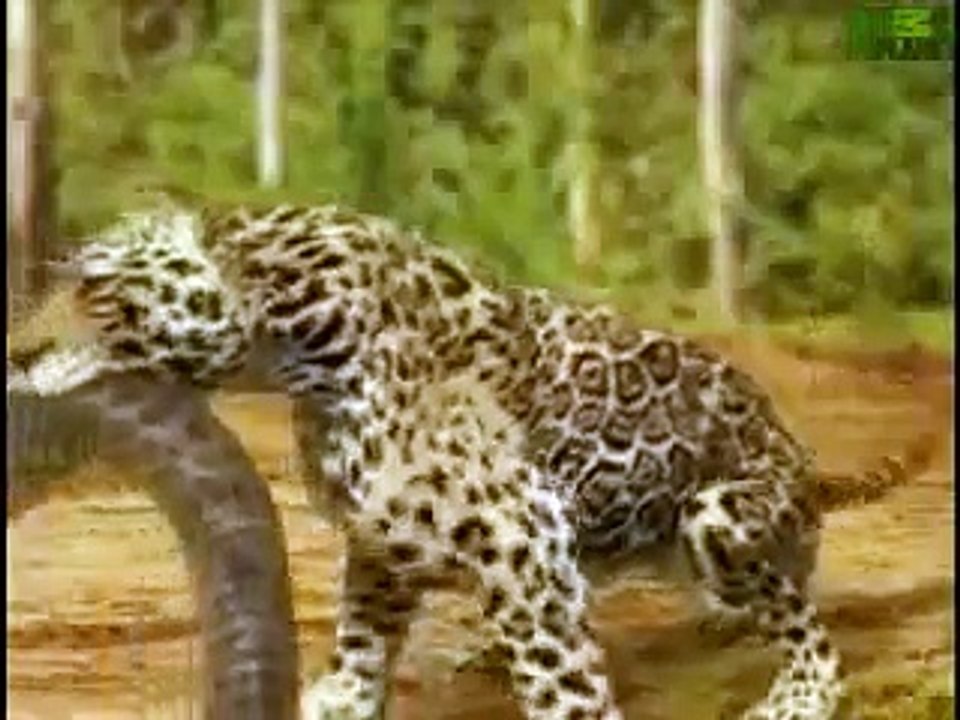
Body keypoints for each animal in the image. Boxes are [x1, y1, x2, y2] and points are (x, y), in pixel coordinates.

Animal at [8, 201, 915, 719]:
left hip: (719, 513)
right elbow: (362, 636)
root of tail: (799, 456)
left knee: (808, 629)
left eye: (94, 288)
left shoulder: (522, 535)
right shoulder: (385, 535)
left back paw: (794, 697)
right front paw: (340, 696)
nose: (16, 354)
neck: (295, 343)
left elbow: (562, 681)